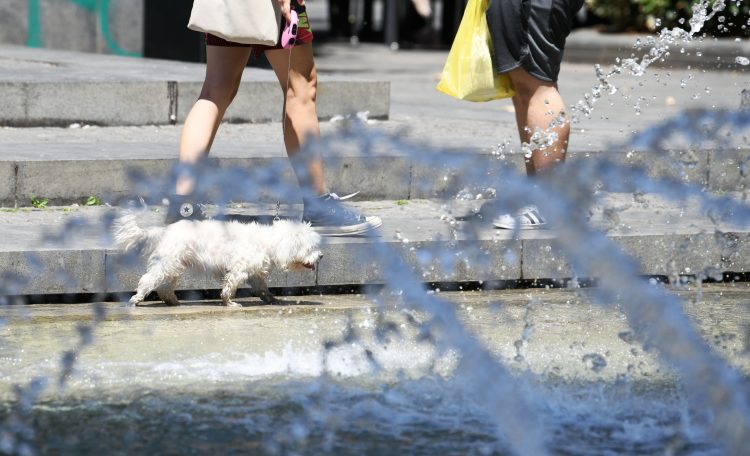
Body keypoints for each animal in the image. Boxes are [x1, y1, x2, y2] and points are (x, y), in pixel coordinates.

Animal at [114, 215, 324, 308]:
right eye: (311, 248)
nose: (321, 256)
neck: (269, 242)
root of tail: (165, 230)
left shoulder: (254, 273)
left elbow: (262, 287)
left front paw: (272, 299)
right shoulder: (239, 270)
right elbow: (229, 287)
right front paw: (228, 302)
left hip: (173, 265)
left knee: (164, 286)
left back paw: (172, 301)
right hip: (167, 263)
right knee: (148, 280)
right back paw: (137, 298)